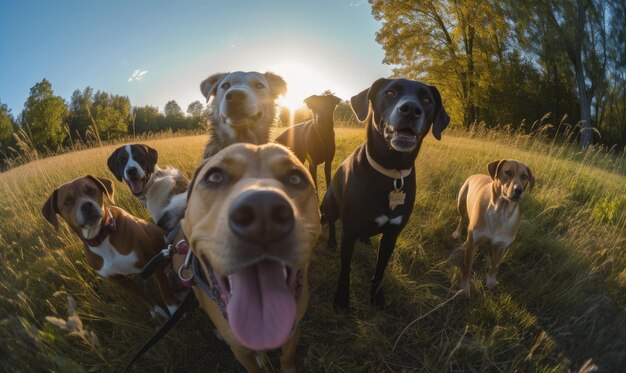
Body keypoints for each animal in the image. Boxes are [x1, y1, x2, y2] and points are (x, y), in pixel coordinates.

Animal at [41, 174, 179, 316]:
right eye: (68, 201)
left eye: (91, 190)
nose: (87, 206)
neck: (102, 237)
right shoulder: (119, 280)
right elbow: (142, 297)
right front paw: (156, 312)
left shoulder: (153, 261)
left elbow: (166, 294)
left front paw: (175, 311)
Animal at [179, 143, 316, 372]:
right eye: (215, 177)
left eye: (296, 178)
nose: (264, 211)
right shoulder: (240, 349)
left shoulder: (294, 329)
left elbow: (287, 358)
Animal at [450, 158, 532, 298]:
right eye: (508, 172)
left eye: (524, 176)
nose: (519, 190)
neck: (500, 211)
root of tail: (476, 174)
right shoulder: (472, 243)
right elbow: (467, 268)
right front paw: (465, 288)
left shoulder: (501, 245)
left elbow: (495, 266)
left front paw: (490, 282)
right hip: (461, 203)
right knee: (462, 218)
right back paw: (458, 232)